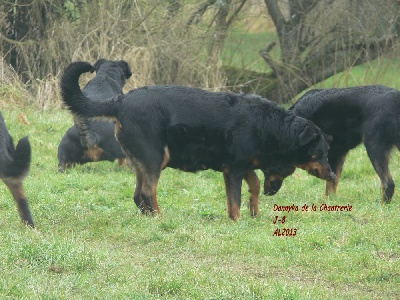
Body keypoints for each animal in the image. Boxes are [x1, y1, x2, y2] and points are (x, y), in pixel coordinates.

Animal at [58, 61, 334, 220]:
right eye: (320, 153)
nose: (332, 175)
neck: (271, 126)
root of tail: (121, 101)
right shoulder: (233, 169)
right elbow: (235, 200)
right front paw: (237, 220)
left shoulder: (243, 165)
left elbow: (254, 186)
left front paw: (254, 212)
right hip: (155, 157)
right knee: (148, 191)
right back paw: (160, 216)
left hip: (141, 160)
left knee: (138, 194)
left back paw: (148, 217)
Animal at [262, 84, 400, 204]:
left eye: (266, 170)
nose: (266, 193)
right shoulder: (337, 154)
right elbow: (332, 184)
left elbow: (330, 183)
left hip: (373, 147)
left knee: (388, 183)